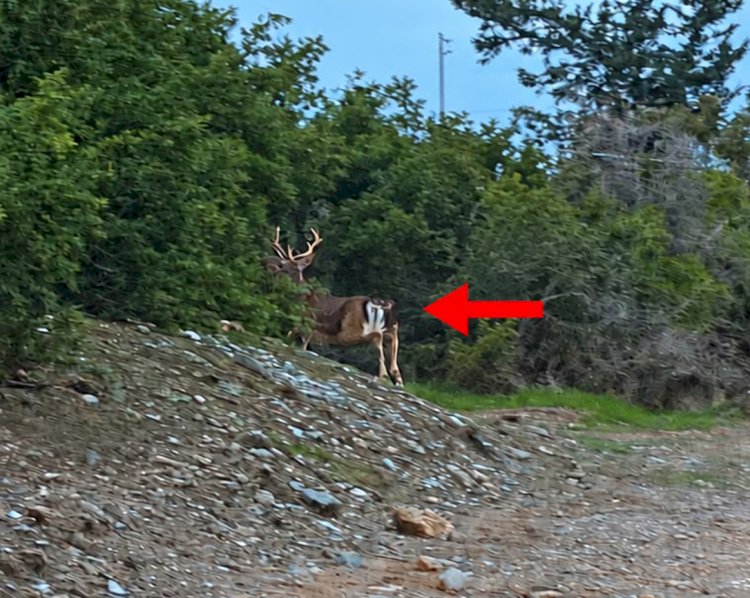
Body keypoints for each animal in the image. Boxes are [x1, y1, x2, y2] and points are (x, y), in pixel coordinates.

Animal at [263, 226, 404, 387]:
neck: (302, 297)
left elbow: (296, 340)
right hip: (389, 326)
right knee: (392, 341)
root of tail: (379, 304)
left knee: (377, 336)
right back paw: (397, 379)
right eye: (281, 264)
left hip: (348, 331)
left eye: (285, 267)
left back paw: (384, 374)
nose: (269, 267)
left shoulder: (307, 323)